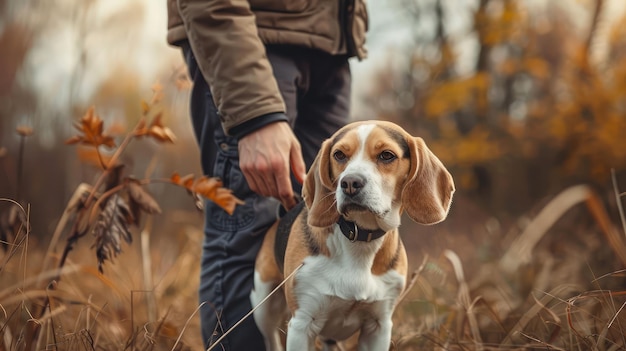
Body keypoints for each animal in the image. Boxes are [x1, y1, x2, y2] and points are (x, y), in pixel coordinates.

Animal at [249, 119, 454, 350]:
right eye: (339, 155)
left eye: (387, 155)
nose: (349, 183)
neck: (359, 237)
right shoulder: (302, 323)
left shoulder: (379, 326)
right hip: (263, 307)